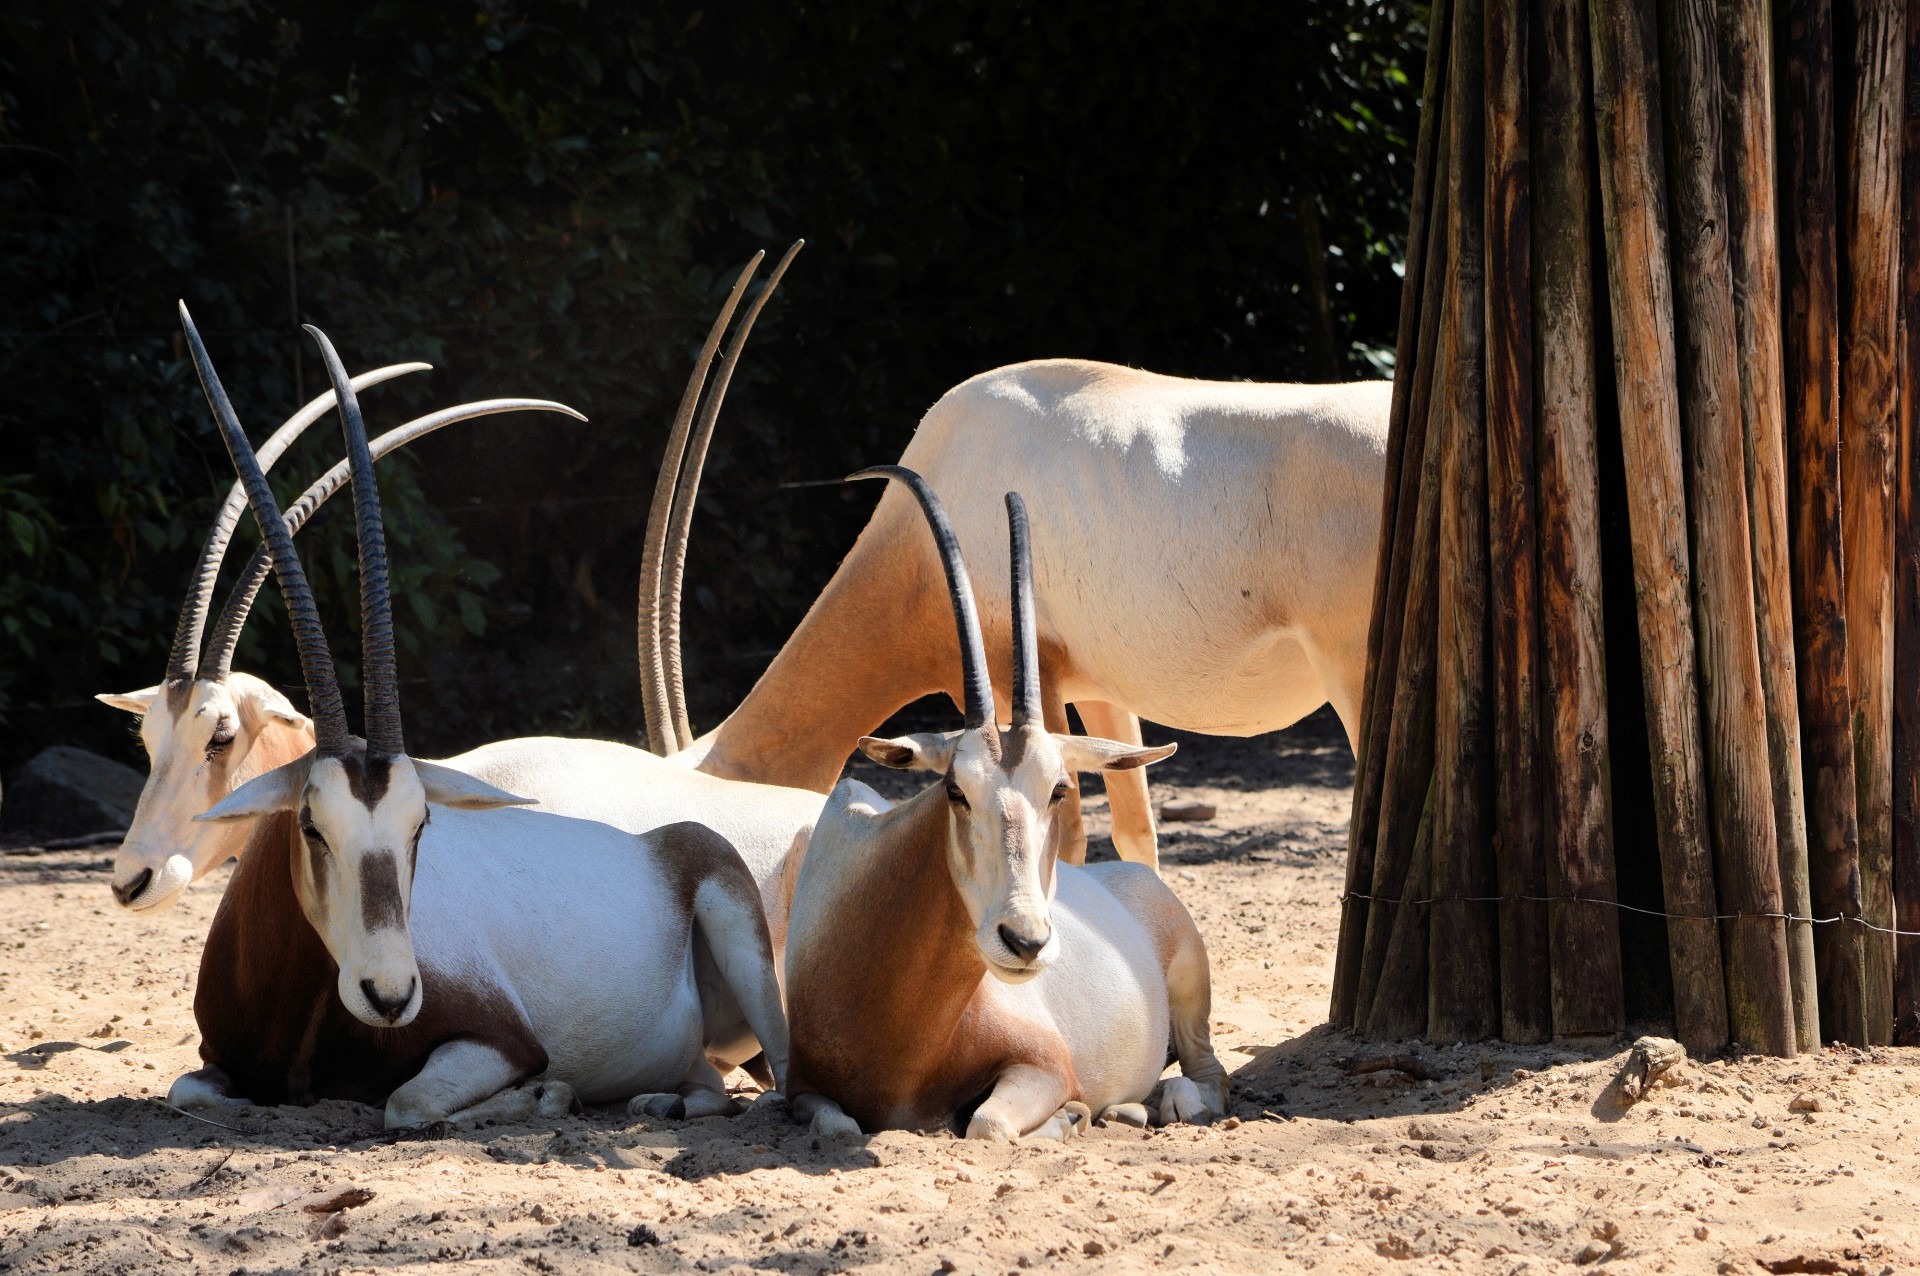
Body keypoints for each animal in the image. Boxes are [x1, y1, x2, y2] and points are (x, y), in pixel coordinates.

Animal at [170, 306, 790, 1128]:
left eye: (420, 826)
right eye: (311, 825)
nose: (390, 995)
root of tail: (668, 838)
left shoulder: (500, 1040)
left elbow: (408, 1103)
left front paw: (544, 1094)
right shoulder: (214, 1063)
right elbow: (187, 1090)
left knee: (779, 1089)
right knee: (711, 1088)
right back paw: (662, 1100)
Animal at [782, 467, 1229, 1140]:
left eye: (1060, 788)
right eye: (954, 790)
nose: (1026, 943)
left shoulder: (1045, 1062)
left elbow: (987, 1124)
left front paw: (1067, 1118)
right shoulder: (800, 1088)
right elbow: (838, 1126)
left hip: (1191, 995)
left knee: (1210, 1077)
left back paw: (1165, 1103)